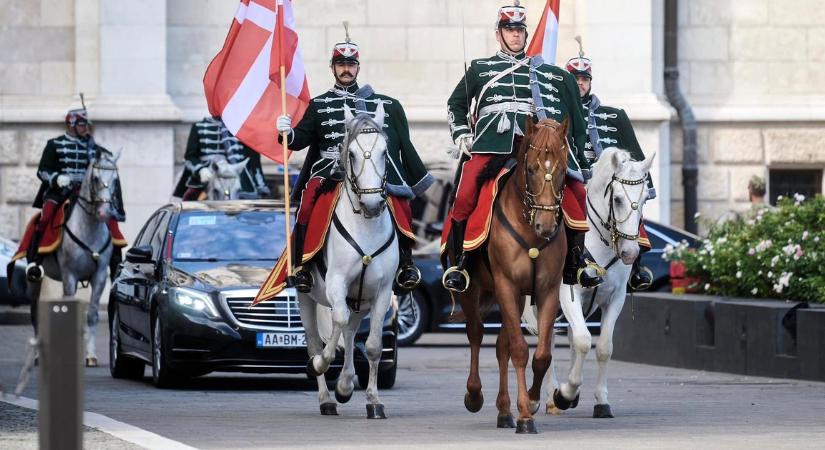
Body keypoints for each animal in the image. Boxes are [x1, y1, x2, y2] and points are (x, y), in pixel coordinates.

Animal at [27, 151, 121, 366]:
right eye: (96, 178)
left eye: (115, 180)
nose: (105, 213)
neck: (89, 228)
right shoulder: (69, 275)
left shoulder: (99, 276)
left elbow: (92, 314)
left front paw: (90, 355)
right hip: (36, 281)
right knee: (35, 313)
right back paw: (36, 355)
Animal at [298, 103, 398, 420]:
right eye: (351, 153)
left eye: (384, 152)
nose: (373, 204)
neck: (365, 227)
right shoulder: (336, 283)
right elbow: (335, 325)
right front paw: (321, 363)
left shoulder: (382, 292)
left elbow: (374, 345)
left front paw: (373, 400)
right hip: (306, 297)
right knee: (317, 339)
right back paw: (326, 398)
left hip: (360, 300)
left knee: (352, 333)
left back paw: (344, 384)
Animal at [454, 118, 568, 434]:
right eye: (531, 169)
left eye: (564, 171)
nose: (545, 225)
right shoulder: (506, 284)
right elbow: (519, 350)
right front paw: (525, 416)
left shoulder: (548, 289)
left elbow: (541, 355)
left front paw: (531, 401)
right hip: (474, 291)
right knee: (476, 333)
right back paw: (474, 395)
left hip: (514, 298)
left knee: (500, 345)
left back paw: (504, 410)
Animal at [524, 148, 652, 418]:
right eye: (617, 200)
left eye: (646, 198)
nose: (630, 253)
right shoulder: (568, 292)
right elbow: (583, 341)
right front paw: (564, 394)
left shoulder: (615, 298)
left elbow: (603, 346)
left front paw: (601, 401)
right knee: (549, 339)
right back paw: (548, 397)